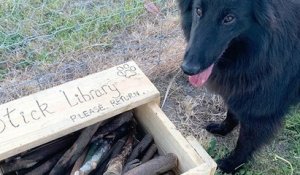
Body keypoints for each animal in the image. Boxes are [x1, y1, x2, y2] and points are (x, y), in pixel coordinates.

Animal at [177, 0, 298, 173]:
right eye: (198, 11)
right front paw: (223, 128)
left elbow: (244, 142)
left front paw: (232, 164)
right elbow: (232, 112)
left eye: (229, 18)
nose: (188, 69)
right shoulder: (240, 92)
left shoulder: (261, 112)